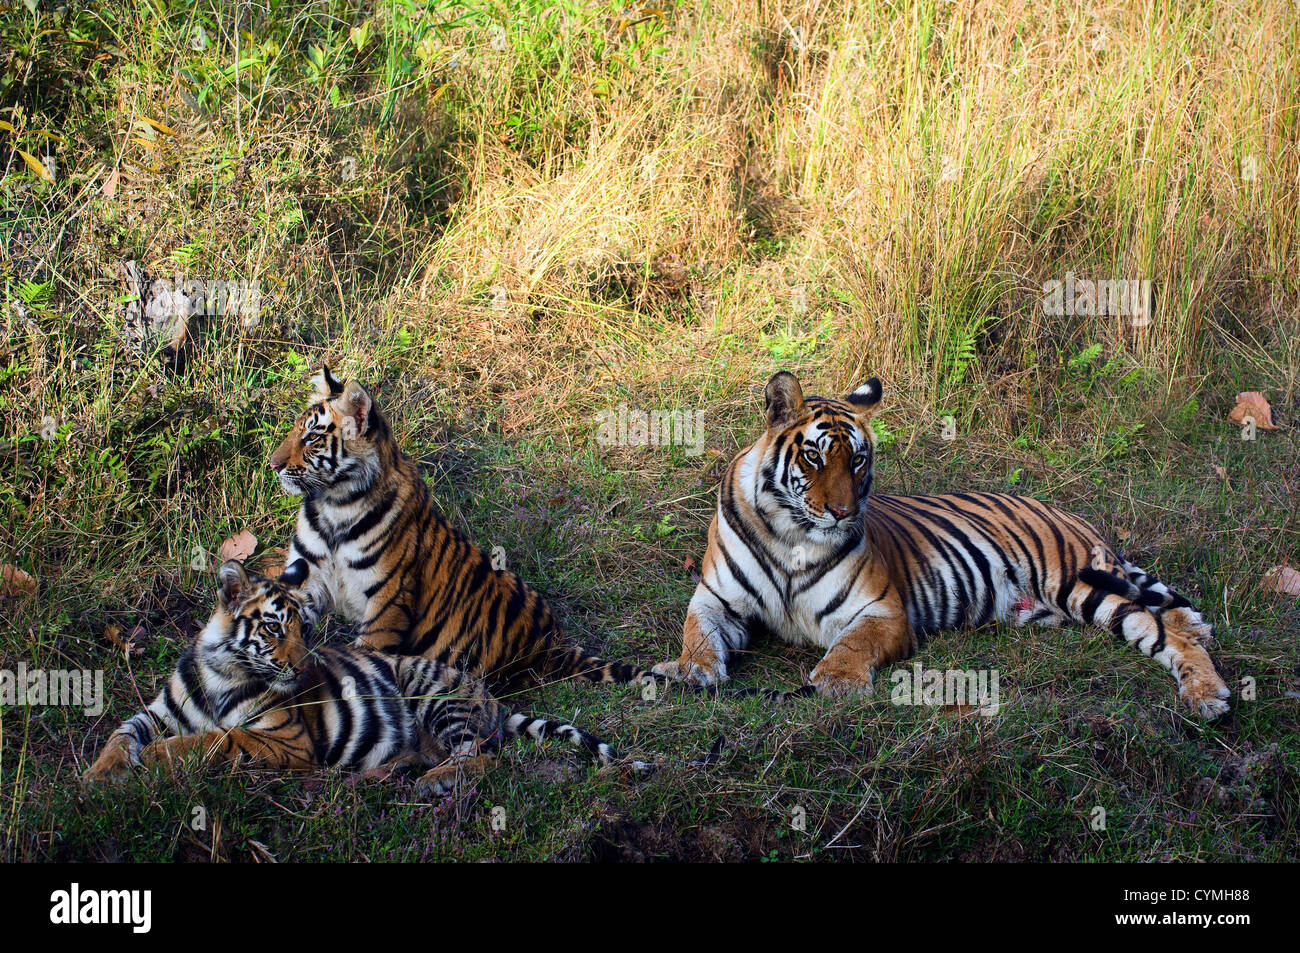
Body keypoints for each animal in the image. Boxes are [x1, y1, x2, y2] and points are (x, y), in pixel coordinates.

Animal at [79, 553, 639, 790]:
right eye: (276, 628)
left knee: (483, 757)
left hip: (429, 692)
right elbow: (118, 734)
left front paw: (158, 757)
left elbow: (215, 740)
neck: (224, 672)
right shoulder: (157, 713)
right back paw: (384, 773)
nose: (304, 665)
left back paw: (432, 783)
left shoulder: (286, 742)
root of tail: (492, 698)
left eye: (306, 628)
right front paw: (99, 775)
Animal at [269, 366, 655, 691]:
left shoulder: (387, 600)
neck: (335, 506)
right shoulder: (309, 580)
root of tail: (554, 641)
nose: (272, 465)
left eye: (312, 438)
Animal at [655, 369, 1232, 717]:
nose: (842, 512)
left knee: (1159, 630)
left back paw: (1208, 693)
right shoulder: (716, 599)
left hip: (1077, 583)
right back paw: (1198, 633)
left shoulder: (882, 611)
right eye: (815, 457)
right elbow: (698, 634)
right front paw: (689, 670)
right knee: (1162, 615)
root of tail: (1066, 513)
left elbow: (850, 646)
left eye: (857, 460)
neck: (791, 535)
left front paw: (836, 681)